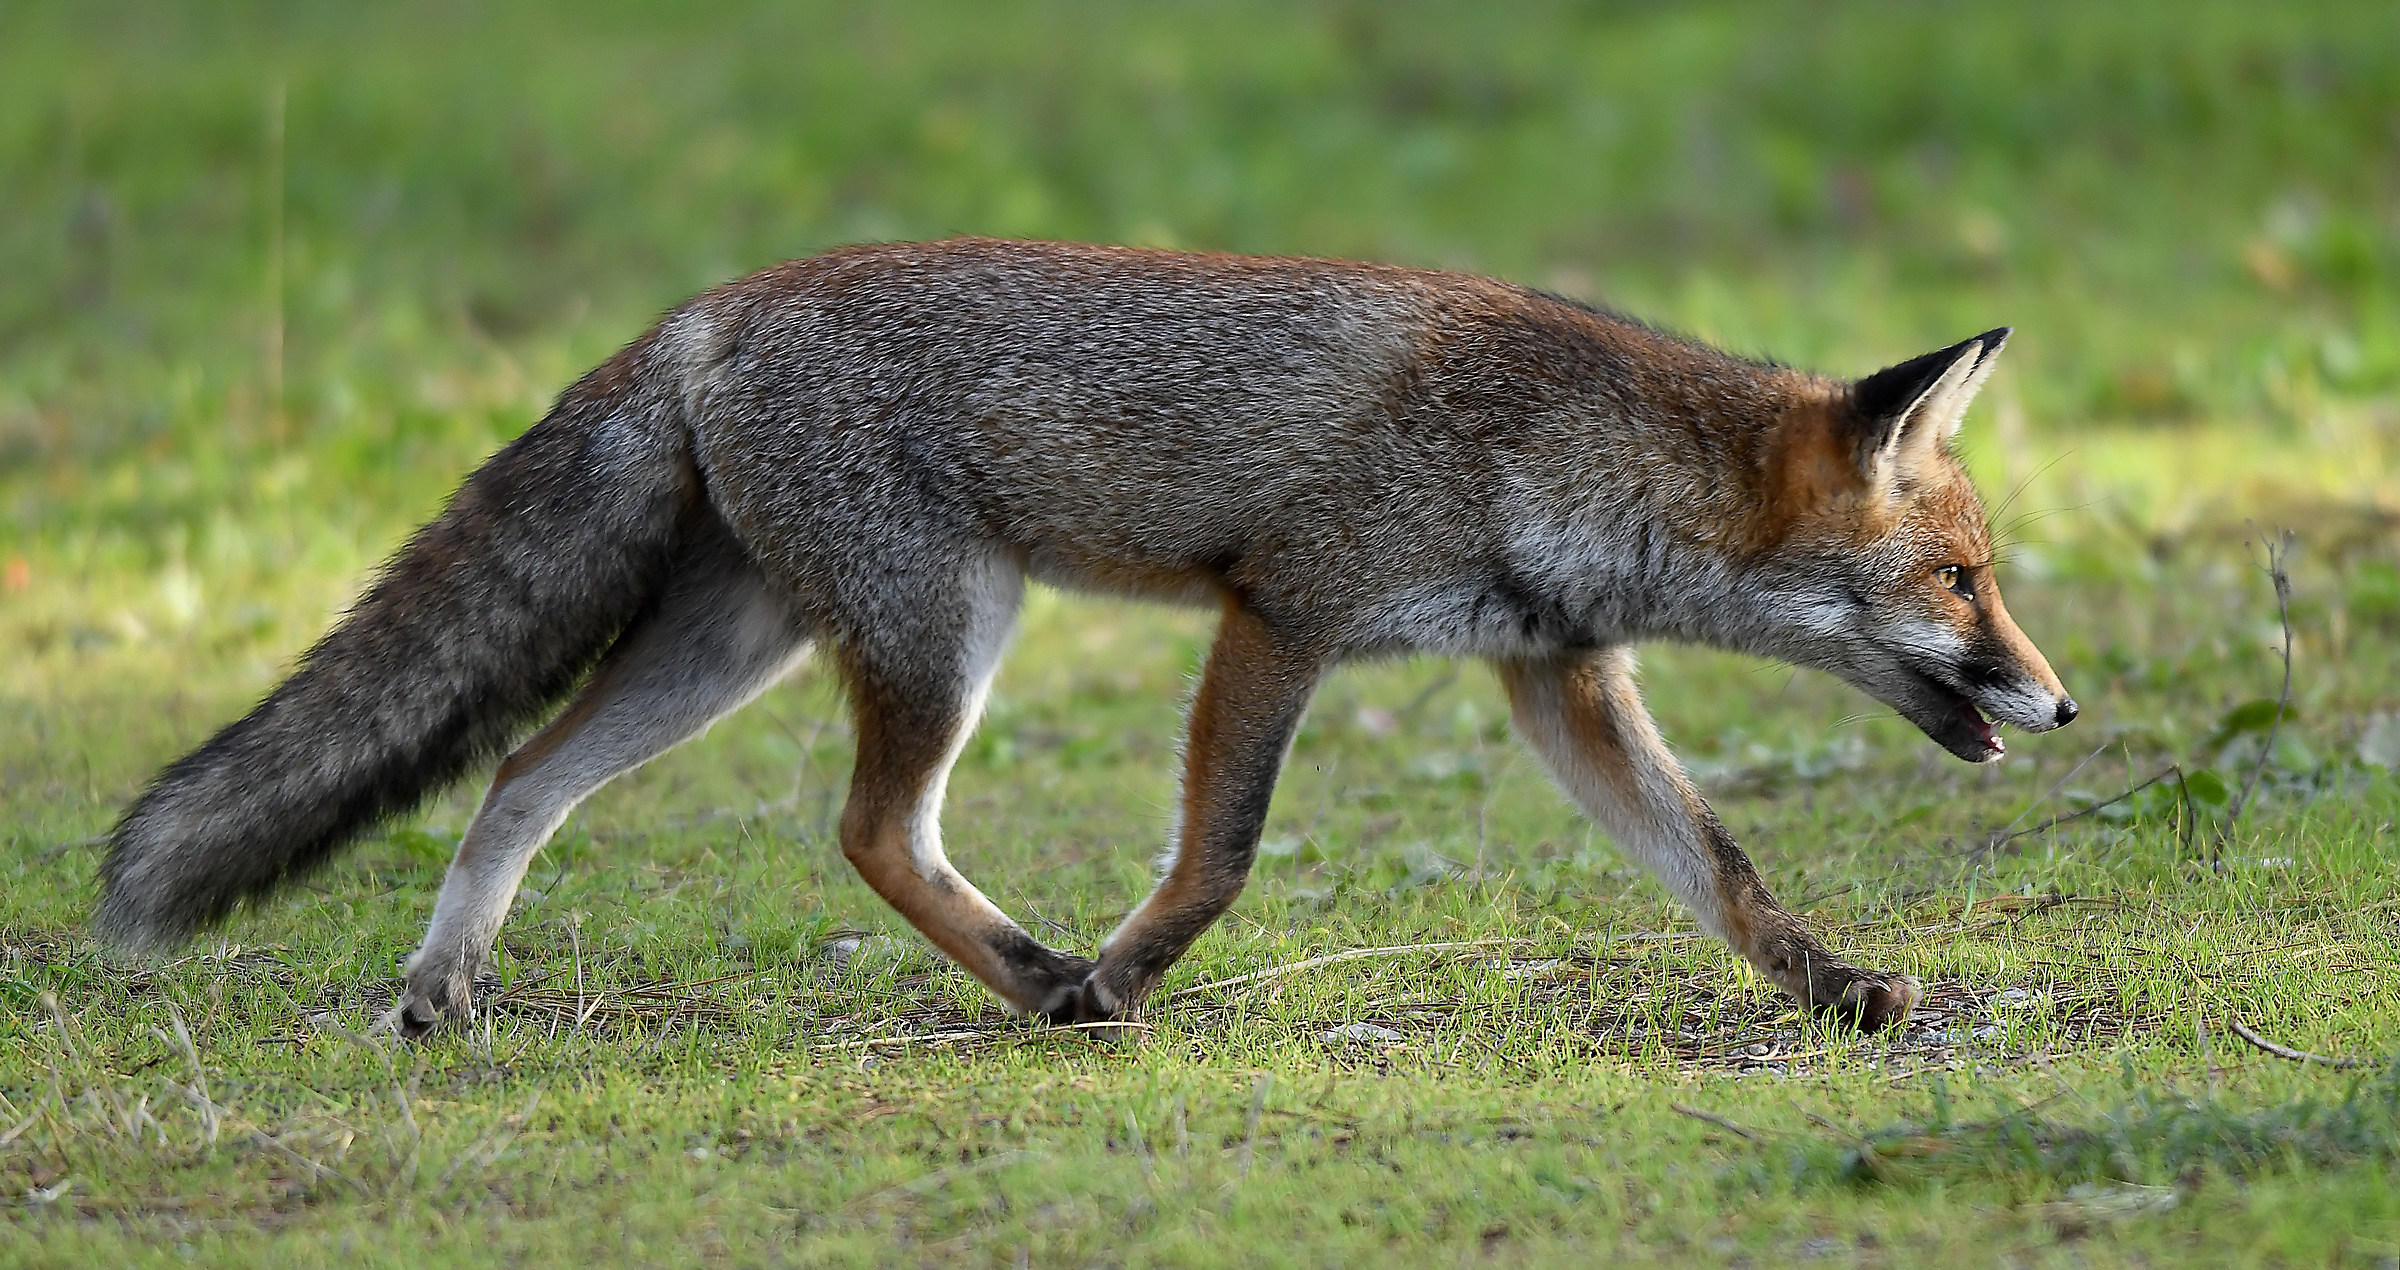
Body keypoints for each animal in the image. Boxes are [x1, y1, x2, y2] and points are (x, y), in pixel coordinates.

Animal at [97, 238, 2075, 1037]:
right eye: (1967, 582)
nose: (2061, 704)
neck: (1545, 448)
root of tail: (711, 303)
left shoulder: (1555, 677)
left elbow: (1723, 868)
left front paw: (1835, 989)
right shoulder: (1281, 611)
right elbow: (1220, 859)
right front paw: (1124, 978)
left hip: (741, 646)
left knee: (518, 771)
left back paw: (446, 984)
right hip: (946, 633)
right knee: (869, 828)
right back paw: (1046, 984)